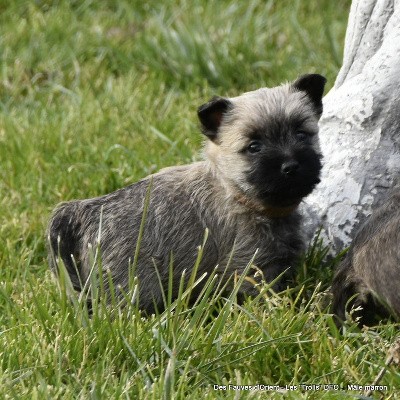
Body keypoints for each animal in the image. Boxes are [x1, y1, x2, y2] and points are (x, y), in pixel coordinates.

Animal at [48, 73, 326, 314]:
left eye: (302, 134)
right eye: (254, 147)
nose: (291, 166)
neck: (234, 192)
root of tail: (84, 211)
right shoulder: (253, 268)